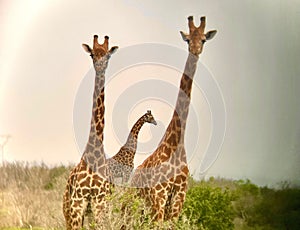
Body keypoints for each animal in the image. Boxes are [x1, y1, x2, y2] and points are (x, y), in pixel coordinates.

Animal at [62, 34, 118, 230]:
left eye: (107, 56)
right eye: (92, 54)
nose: (100, 67)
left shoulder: (99, 203)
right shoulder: (78, 203)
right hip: (68, 211)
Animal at [130, 15, 217, 222]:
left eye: (203, 39)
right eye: (188, 39)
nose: (195, 50)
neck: (176, 143)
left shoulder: (179, 196)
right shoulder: (159, 195)